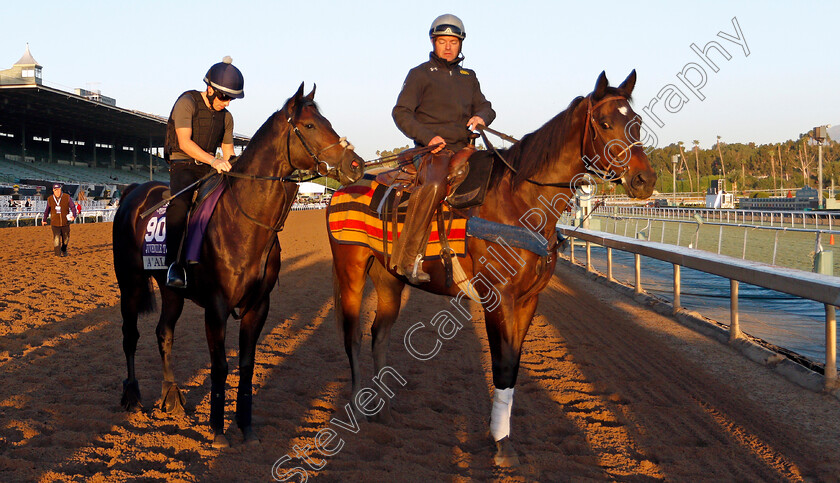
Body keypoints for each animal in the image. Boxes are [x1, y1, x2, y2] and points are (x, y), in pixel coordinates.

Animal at [113, 84, 362, 450]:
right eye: (311, 125)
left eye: (327, 121)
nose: (357, 164)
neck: (246, 222)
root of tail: (133, 191)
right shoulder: (216, 307)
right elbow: (219, 366)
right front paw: (218, 429)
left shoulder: (258, 306)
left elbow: (246, 366)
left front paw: (246, 427)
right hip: (129, 283)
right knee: (130, 336)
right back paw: (132, 397)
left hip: (171, 293)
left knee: (164, 333)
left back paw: (171, 396)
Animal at [328, 71, 656, 466]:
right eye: (605, 123)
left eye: (636, 122)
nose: (645, 180)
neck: (519, 201)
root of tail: (342, 188)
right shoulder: (496, 298)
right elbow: (500, 364)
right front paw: (501, 443)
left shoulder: (528, 301)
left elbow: (513, 367)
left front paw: (504, 437)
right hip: (350, 271)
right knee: (352, 335)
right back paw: (359, 409)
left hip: (390, 278)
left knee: (379, 333)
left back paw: (383, 409)